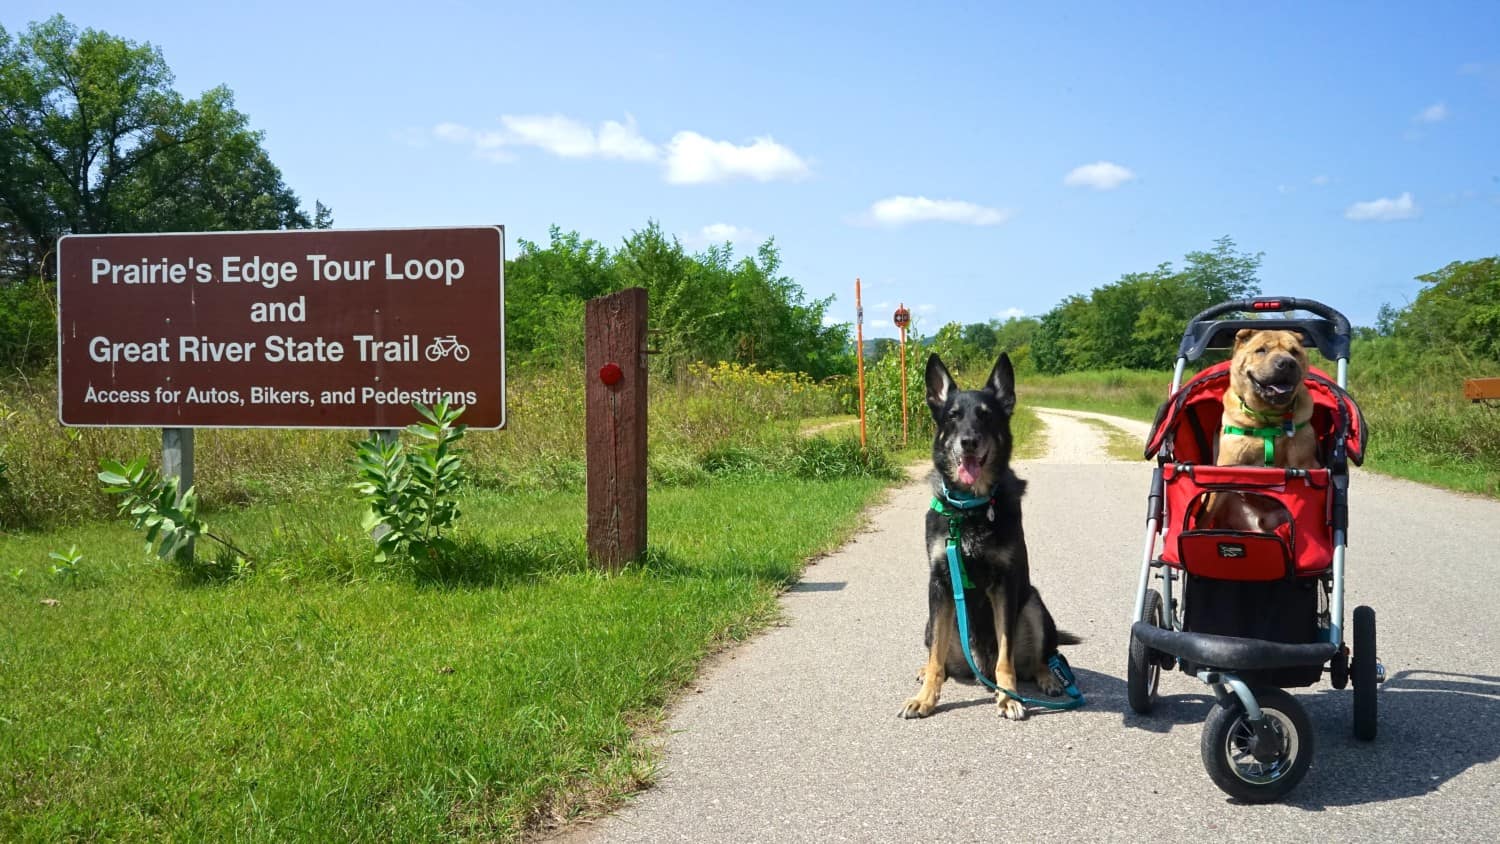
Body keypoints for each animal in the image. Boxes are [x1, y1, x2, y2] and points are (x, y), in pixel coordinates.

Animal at [900, 353, 1080, 722]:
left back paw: (1048, 678)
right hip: (932, 620)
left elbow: (1005, 658)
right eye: (953, 416)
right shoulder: (940, 585)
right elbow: (936, 658)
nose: (968, 441)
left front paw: (1007, 697)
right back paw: (927, 673)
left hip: (1034, 604)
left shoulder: (1004, 586)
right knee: (940, 659)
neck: (971, 509)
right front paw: (926, 698)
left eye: (986, 415)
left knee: (1041, 658)